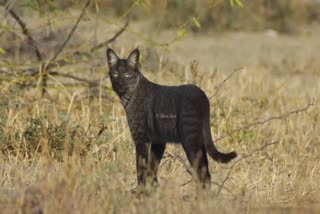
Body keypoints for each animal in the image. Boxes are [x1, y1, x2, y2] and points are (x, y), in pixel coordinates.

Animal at [106, 48, 236, 189]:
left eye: (127, 75)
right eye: (115, 74)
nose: (119, 83)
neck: (129, 97)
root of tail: (202, 95)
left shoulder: (141, 138)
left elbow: (141, 168)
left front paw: (140, 191)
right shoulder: (158, 141)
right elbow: (152, 169)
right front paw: (153, 190)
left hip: (190, 139)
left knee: (202, 173)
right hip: (198, 141)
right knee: (206, 172)